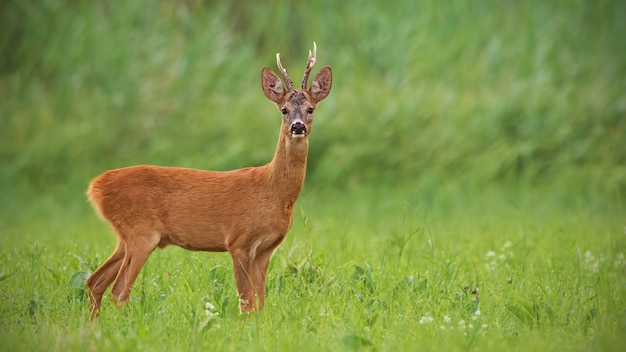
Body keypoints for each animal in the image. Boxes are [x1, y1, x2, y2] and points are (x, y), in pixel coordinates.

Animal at [88, 42, 332, 318]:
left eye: (311, 108)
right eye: (284, 110)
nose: (298, 126)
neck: (274, 191)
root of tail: (95, 187)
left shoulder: (266, 249)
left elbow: (259, 302)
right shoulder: (238, 241)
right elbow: (246, 302)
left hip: (125, 237)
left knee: (94, 281)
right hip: (141, 232)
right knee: (118, 291)